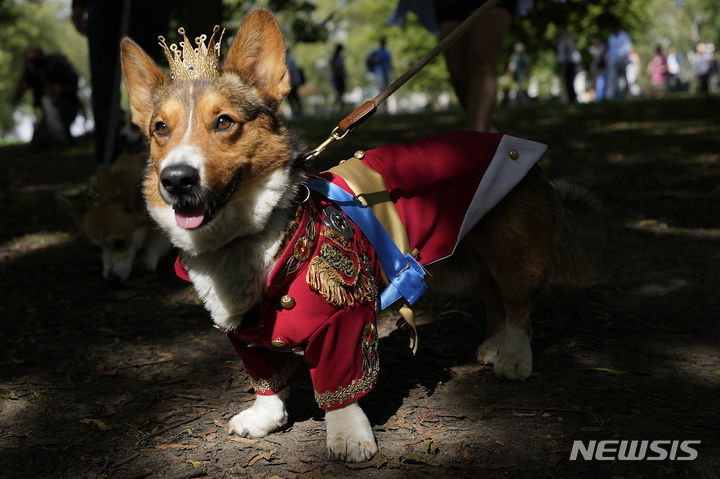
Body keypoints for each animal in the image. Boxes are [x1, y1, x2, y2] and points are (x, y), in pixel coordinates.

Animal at [121, 8, 600, 464]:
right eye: (160, 129)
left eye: (223, 122)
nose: (175, 180)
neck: (246, 239)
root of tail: (523, 152)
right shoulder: (245, 336)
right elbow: (267, 383)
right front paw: (263, 419)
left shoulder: (345, 322)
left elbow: (341, 388)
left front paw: (348, 438)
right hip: (471, 259)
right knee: (492, 298)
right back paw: (493, 346)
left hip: (512, 255)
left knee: (519, 307)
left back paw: (514, 357)